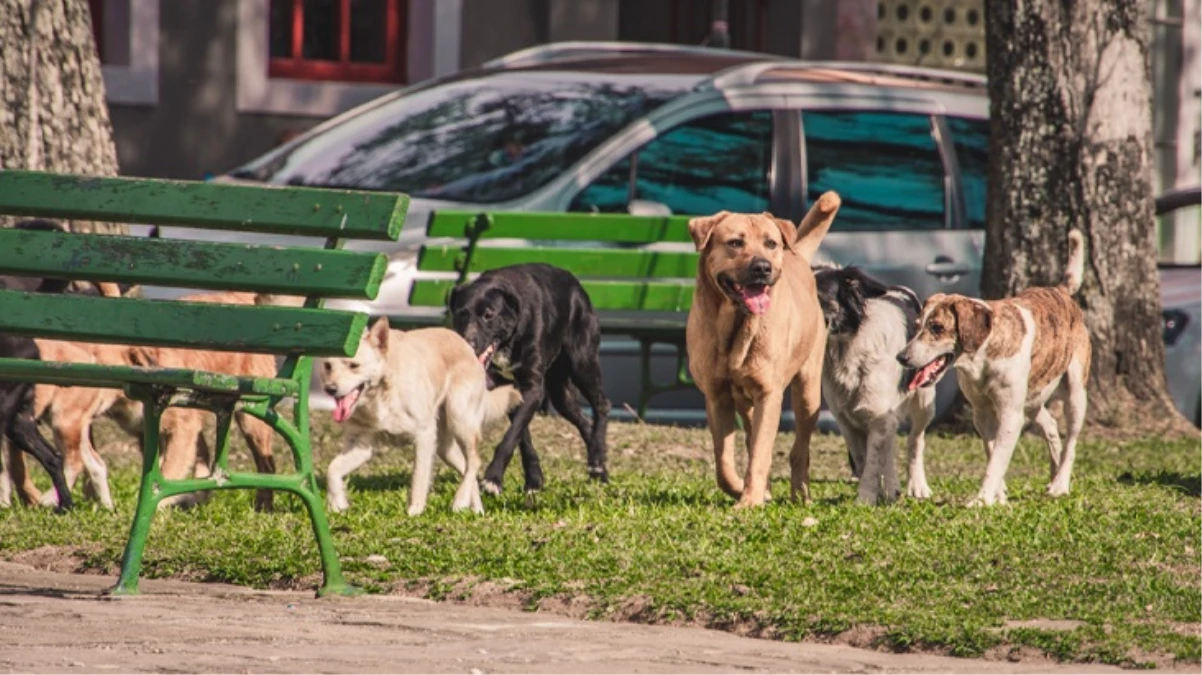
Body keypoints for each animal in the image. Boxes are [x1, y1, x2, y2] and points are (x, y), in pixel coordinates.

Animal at [319, 317, 521, 511]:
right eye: (328, 365)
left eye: (354, 366)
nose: (330, 389)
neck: (381, 392)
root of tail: (465, 345)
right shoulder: (361, 446)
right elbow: (332, 469)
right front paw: (338, 503)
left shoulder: (424, 435)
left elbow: (418, 477)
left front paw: (414, 511)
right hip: (444, 447)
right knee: (466, 467)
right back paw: (476, 510)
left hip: (460, 419)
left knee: (474, 461)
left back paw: (460, 501)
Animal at [449, 260, 610, 492]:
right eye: (461, 314)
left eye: (488, 315)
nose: (467, 344)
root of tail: (578, 287)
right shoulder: (510, 390)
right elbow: (521, 437)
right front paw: (533, 478)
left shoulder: (533, 388)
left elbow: (511, 436)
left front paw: (492, 478)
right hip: (560, 394)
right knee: (583, 421)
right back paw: (599, 468)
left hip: (582, 363)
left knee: (602, 404)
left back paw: (597, 457)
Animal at [687, 190, 846, 504]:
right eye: (735, 242)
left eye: (770, 243)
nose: (762, 267)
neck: (735, 326)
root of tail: (796, 255)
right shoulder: (717, 396)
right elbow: (724, 462)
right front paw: (741, 489)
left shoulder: (769, 395)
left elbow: (760, 453)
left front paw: (750, 500)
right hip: (747, 402)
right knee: (751, 437)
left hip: (807, 392)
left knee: (800, 450)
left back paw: (800, 494)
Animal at [812, 265, 932, 502]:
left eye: (818, 295)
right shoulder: (846, 419)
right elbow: (864, 458)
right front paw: (875, 492)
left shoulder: (878, 416)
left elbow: (873, 461)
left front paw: (865, 499)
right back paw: (892, 487)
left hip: (924, 401)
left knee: (916, 440)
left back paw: (917, 486)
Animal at [899, 228, 1096, 502]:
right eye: (917, 326)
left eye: (937, 328)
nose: (902, 357)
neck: (982, 359)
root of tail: (1061, 290)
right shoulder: (982, 413)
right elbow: (993, 452)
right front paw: (999, 495)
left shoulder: (1010, 414)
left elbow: (997, 460)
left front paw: (982, 499)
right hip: (1032, 400)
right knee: (1051, 426)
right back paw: (1053, 473)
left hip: (1076, 393)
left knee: (1072, 441)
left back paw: (1060, 483)